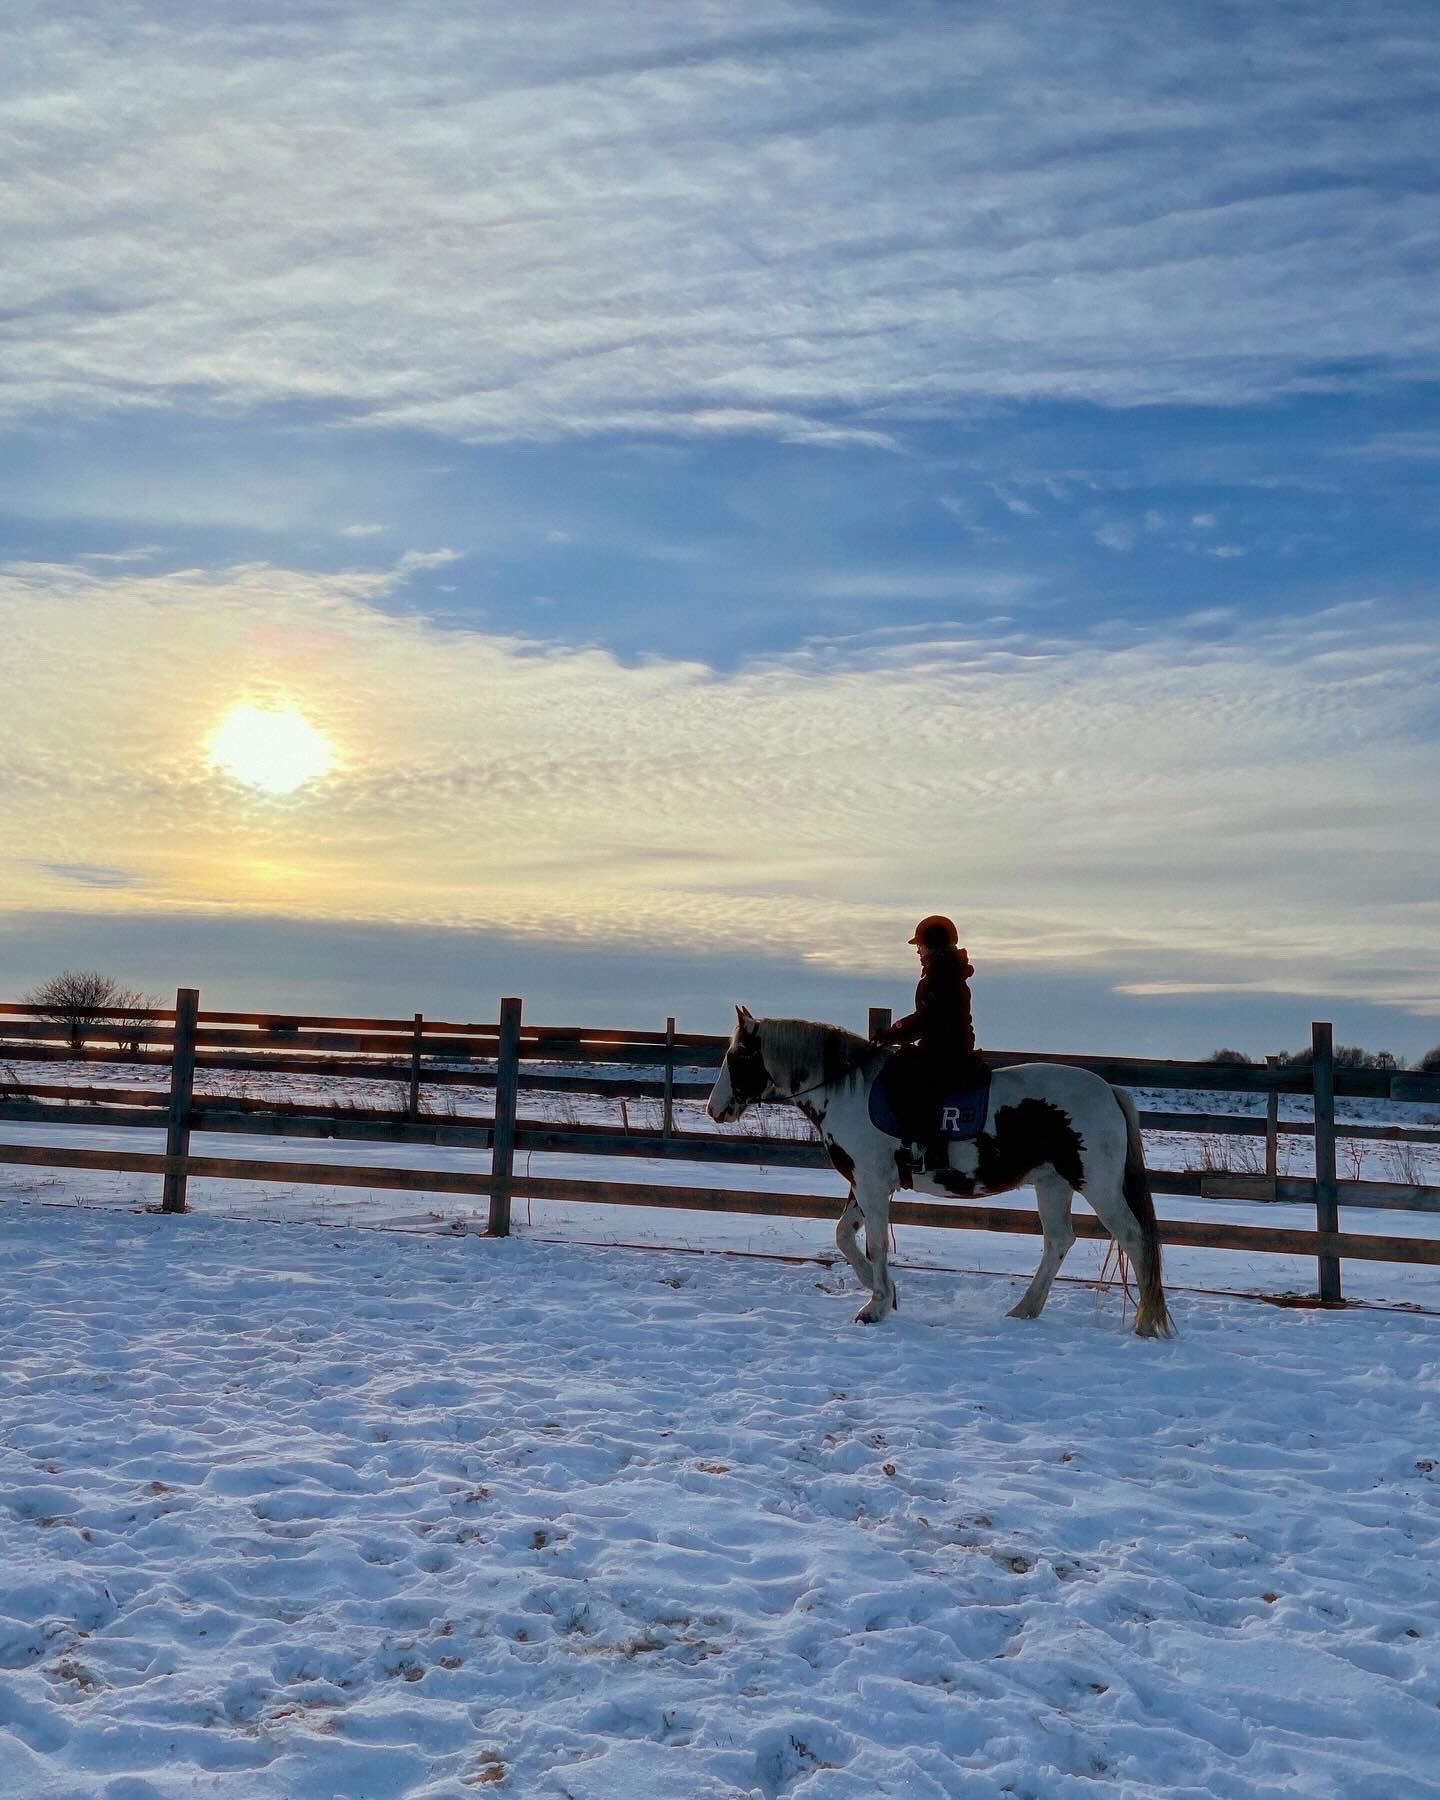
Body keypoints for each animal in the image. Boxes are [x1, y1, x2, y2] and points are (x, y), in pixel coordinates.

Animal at [705, 1015, 1166, 1339]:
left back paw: (1144, 1323)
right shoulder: (864, 1184)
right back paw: (1024, 1309)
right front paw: (884, 1294)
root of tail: (1108, 1091)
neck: (847, 1090)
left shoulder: (872, 1184)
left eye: (737, 1056)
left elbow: (874, 1243)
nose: (715, 1108)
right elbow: (844, 1237)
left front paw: (874, 1307)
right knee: (1058, 1241)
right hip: (1052, 1184)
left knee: (1132, 1236)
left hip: (1097, 1184)